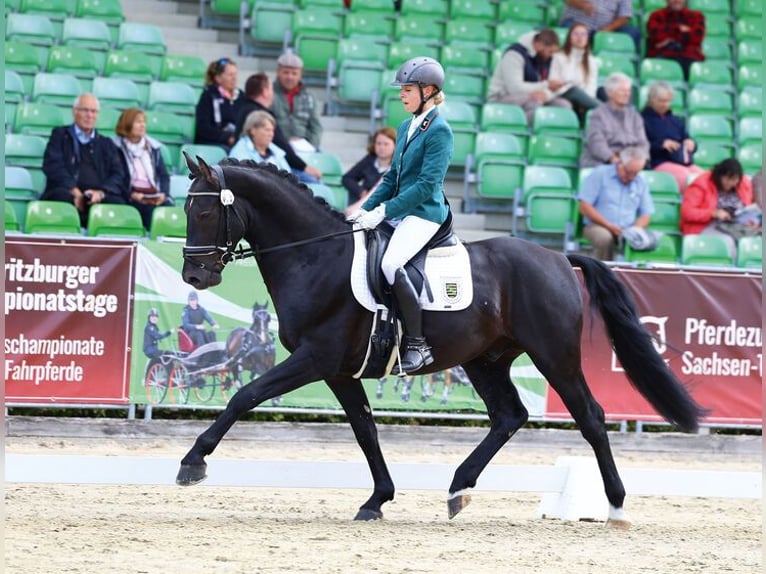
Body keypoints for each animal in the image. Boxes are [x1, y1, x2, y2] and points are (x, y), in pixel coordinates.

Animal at [177, 155, 706, 527]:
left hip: (555, 356)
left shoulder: (315, 358)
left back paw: (616, 507)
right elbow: (365, 431)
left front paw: (193, 463)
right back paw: (458, 488)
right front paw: (377, 500)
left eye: (203, 210)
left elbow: (245, 395)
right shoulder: (340, 370)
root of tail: (558, 258)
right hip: (485, 360)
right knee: (510, 415)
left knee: (591, 418)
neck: (314, 257)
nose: (195, 276)